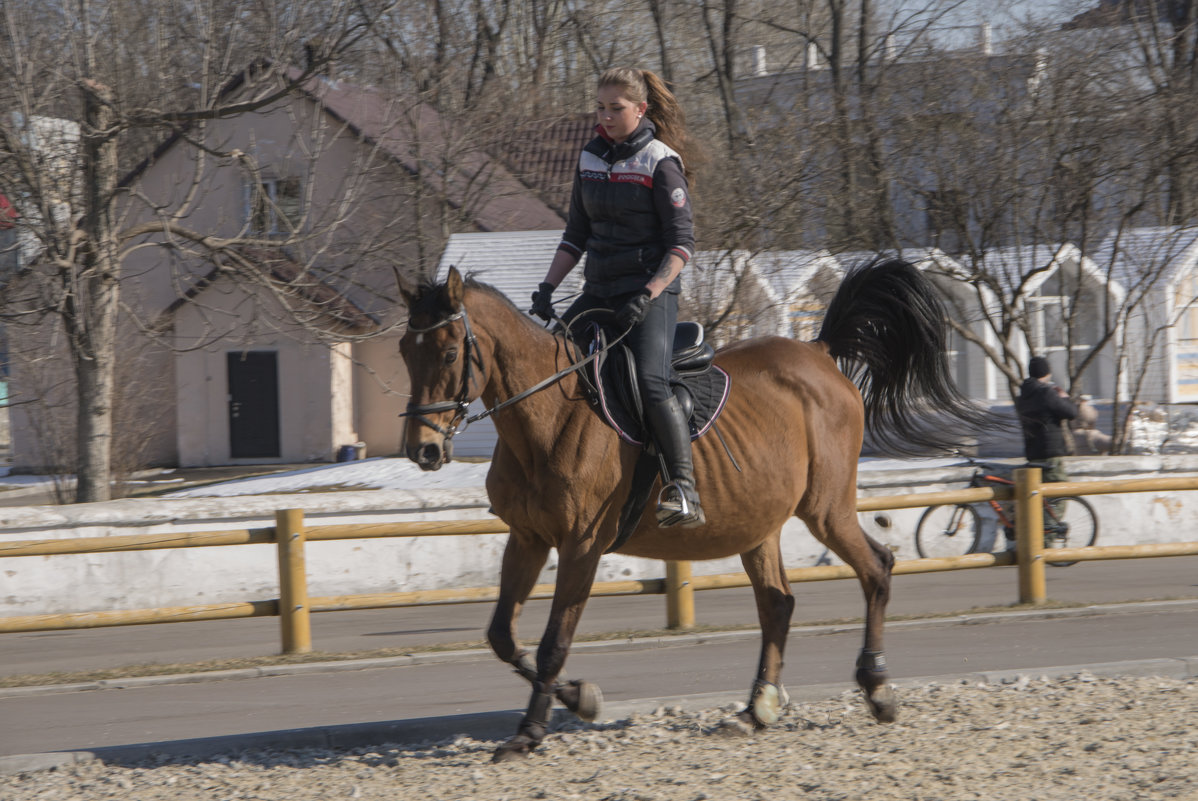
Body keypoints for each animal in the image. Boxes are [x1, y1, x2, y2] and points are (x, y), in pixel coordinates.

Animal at [397, 257, 987, 761]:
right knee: (778, 604)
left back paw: (877, 688)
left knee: (876, 569)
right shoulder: (528, 538)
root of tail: (818, 352)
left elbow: (551, 644)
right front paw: (579, 697)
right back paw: (757, 709)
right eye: (405, 350)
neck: (549, 413)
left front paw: (530, 732)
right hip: (759, 525)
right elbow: (502, 636)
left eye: (448, 353)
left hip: (826, 509)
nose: (422, 449)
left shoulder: (581, 546)